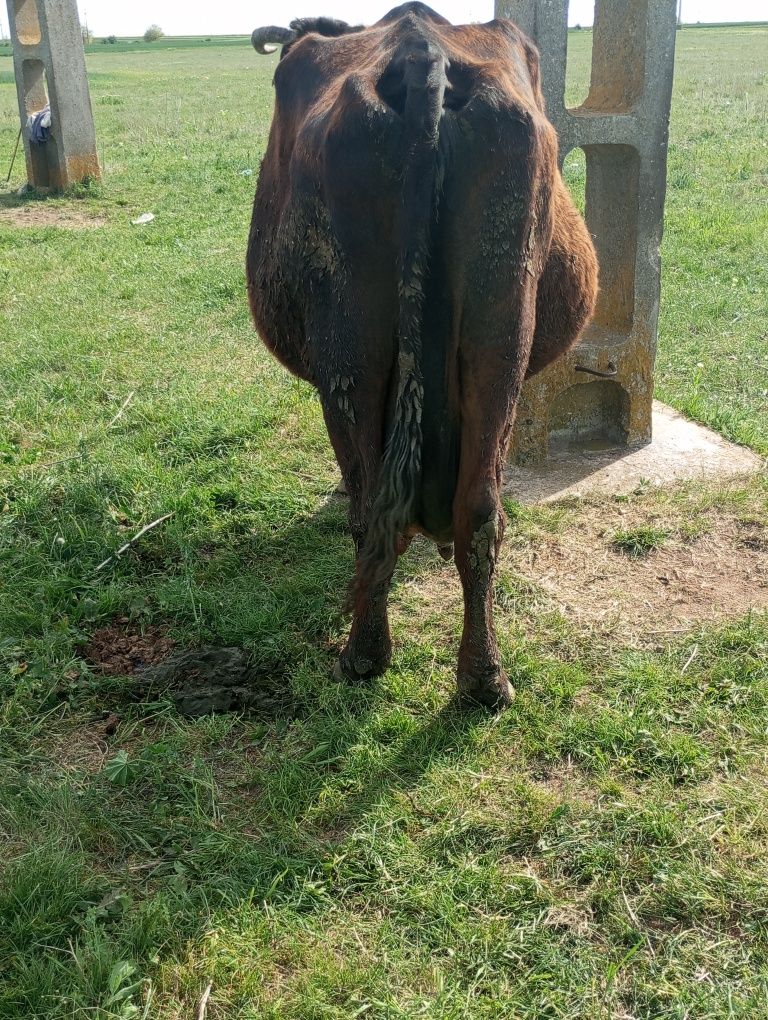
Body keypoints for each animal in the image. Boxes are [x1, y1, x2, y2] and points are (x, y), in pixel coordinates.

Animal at [248, 0, 595, 705]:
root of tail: (419, 52)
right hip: (500, 332)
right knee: (478, 513)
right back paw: (484, 678)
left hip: (348, 348)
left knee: (370, 511)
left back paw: (363, 656)